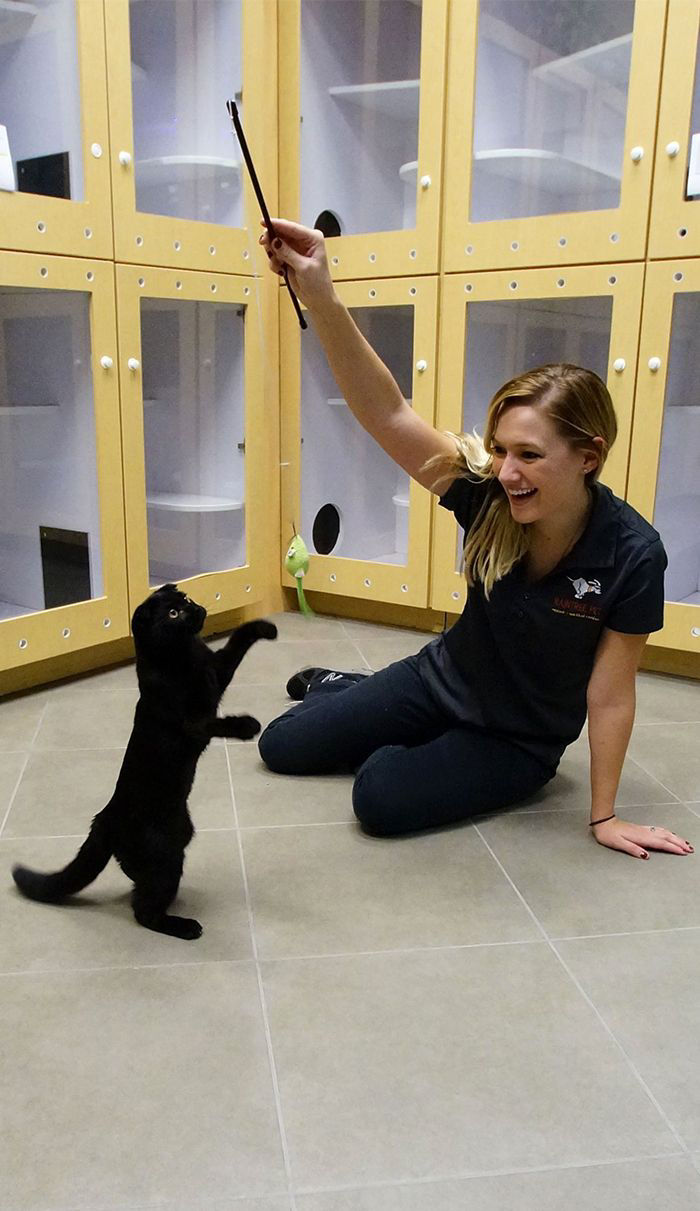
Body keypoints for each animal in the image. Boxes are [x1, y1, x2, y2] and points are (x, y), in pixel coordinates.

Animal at [12, 581, 276, 939]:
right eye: (174, 613)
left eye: (185, 599)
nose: (196, 609)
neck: (185, 654)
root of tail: (105, 818)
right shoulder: (194, 722)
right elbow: (216, 723)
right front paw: (248, 725)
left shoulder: (216, 670)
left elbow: (238, 639)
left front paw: (266, 628)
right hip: (165, 855)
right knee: (143, 911)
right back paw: (185, 927)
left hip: (175, 842)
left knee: (139, 884)